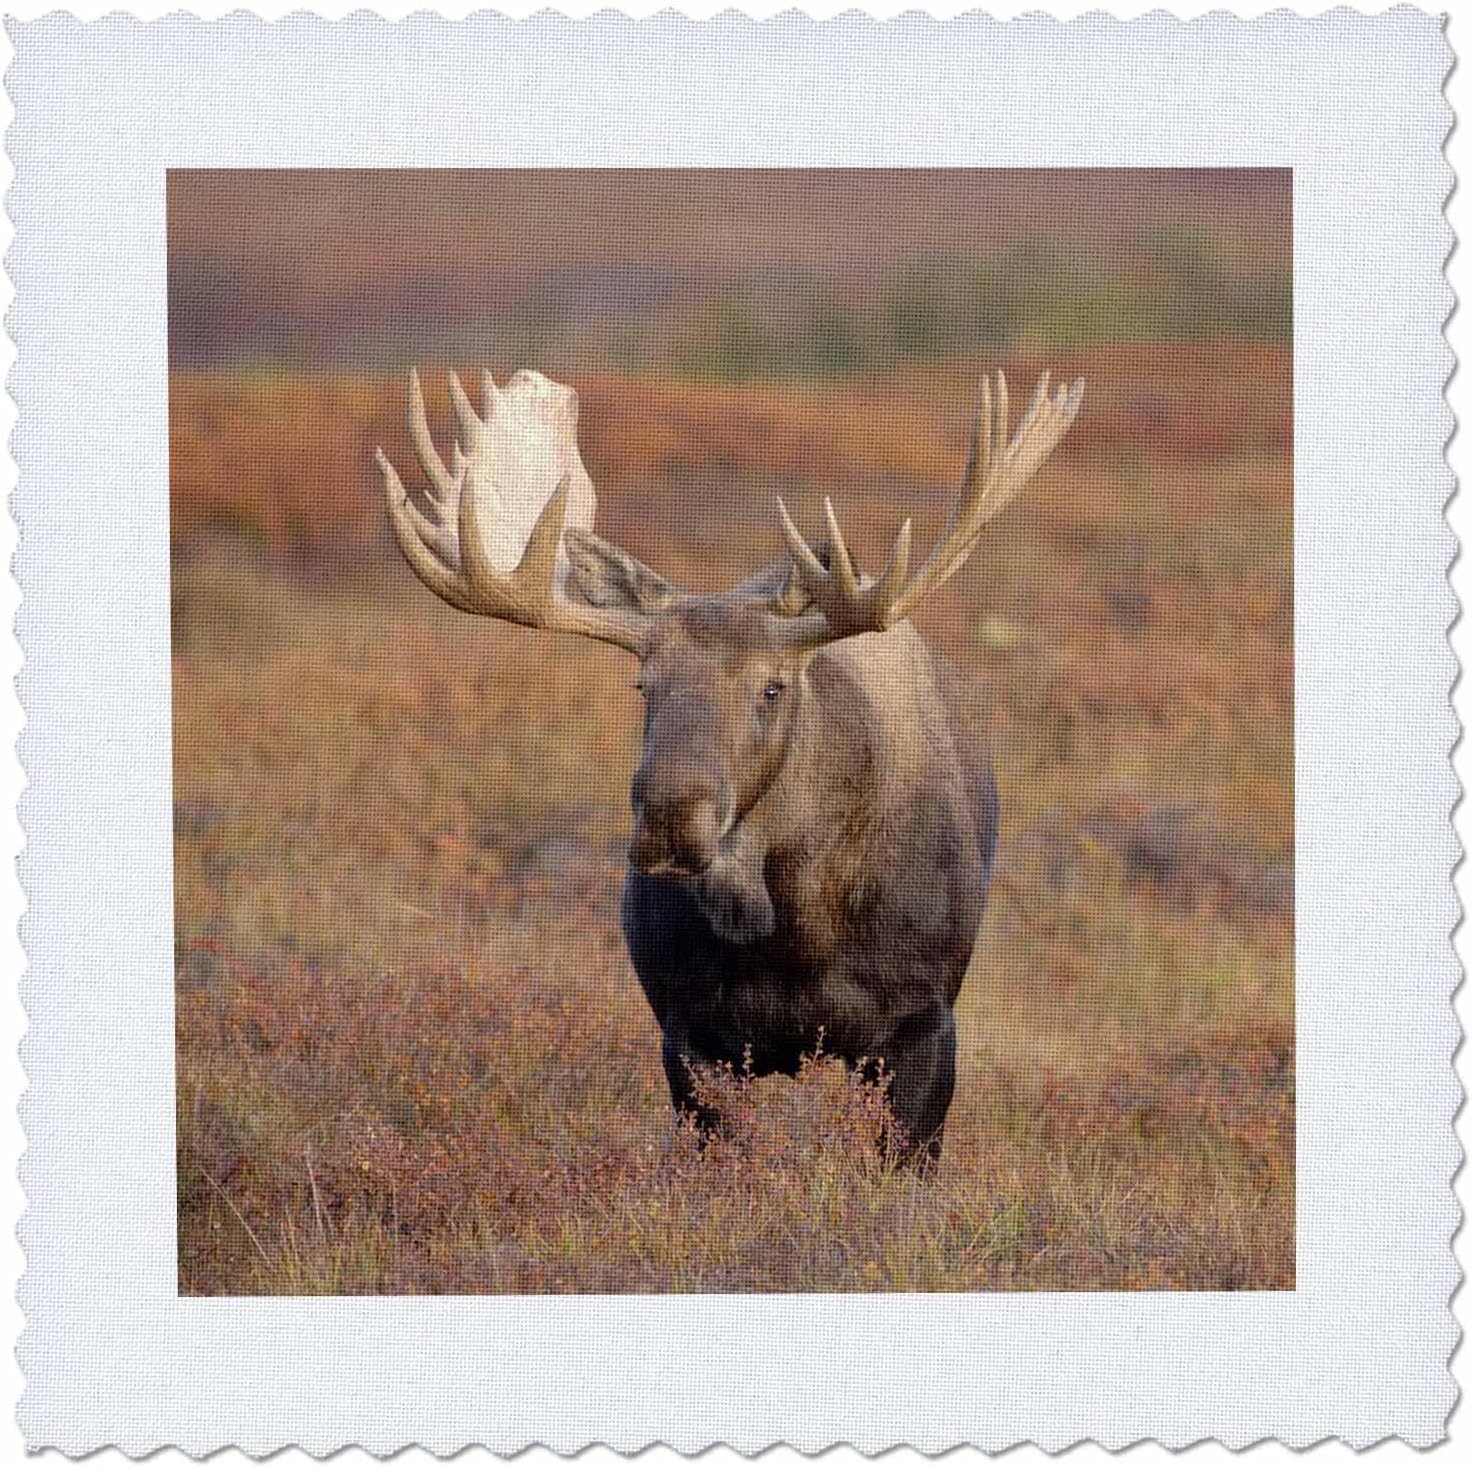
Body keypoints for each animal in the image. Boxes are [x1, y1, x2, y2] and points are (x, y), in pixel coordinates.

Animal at [377, 365, 1083, 1164]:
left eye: (773, 686)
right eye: (643, 685)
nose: (669, 821)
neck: (793, 931)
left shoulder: (923, 1025)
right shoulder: (689, 1035)